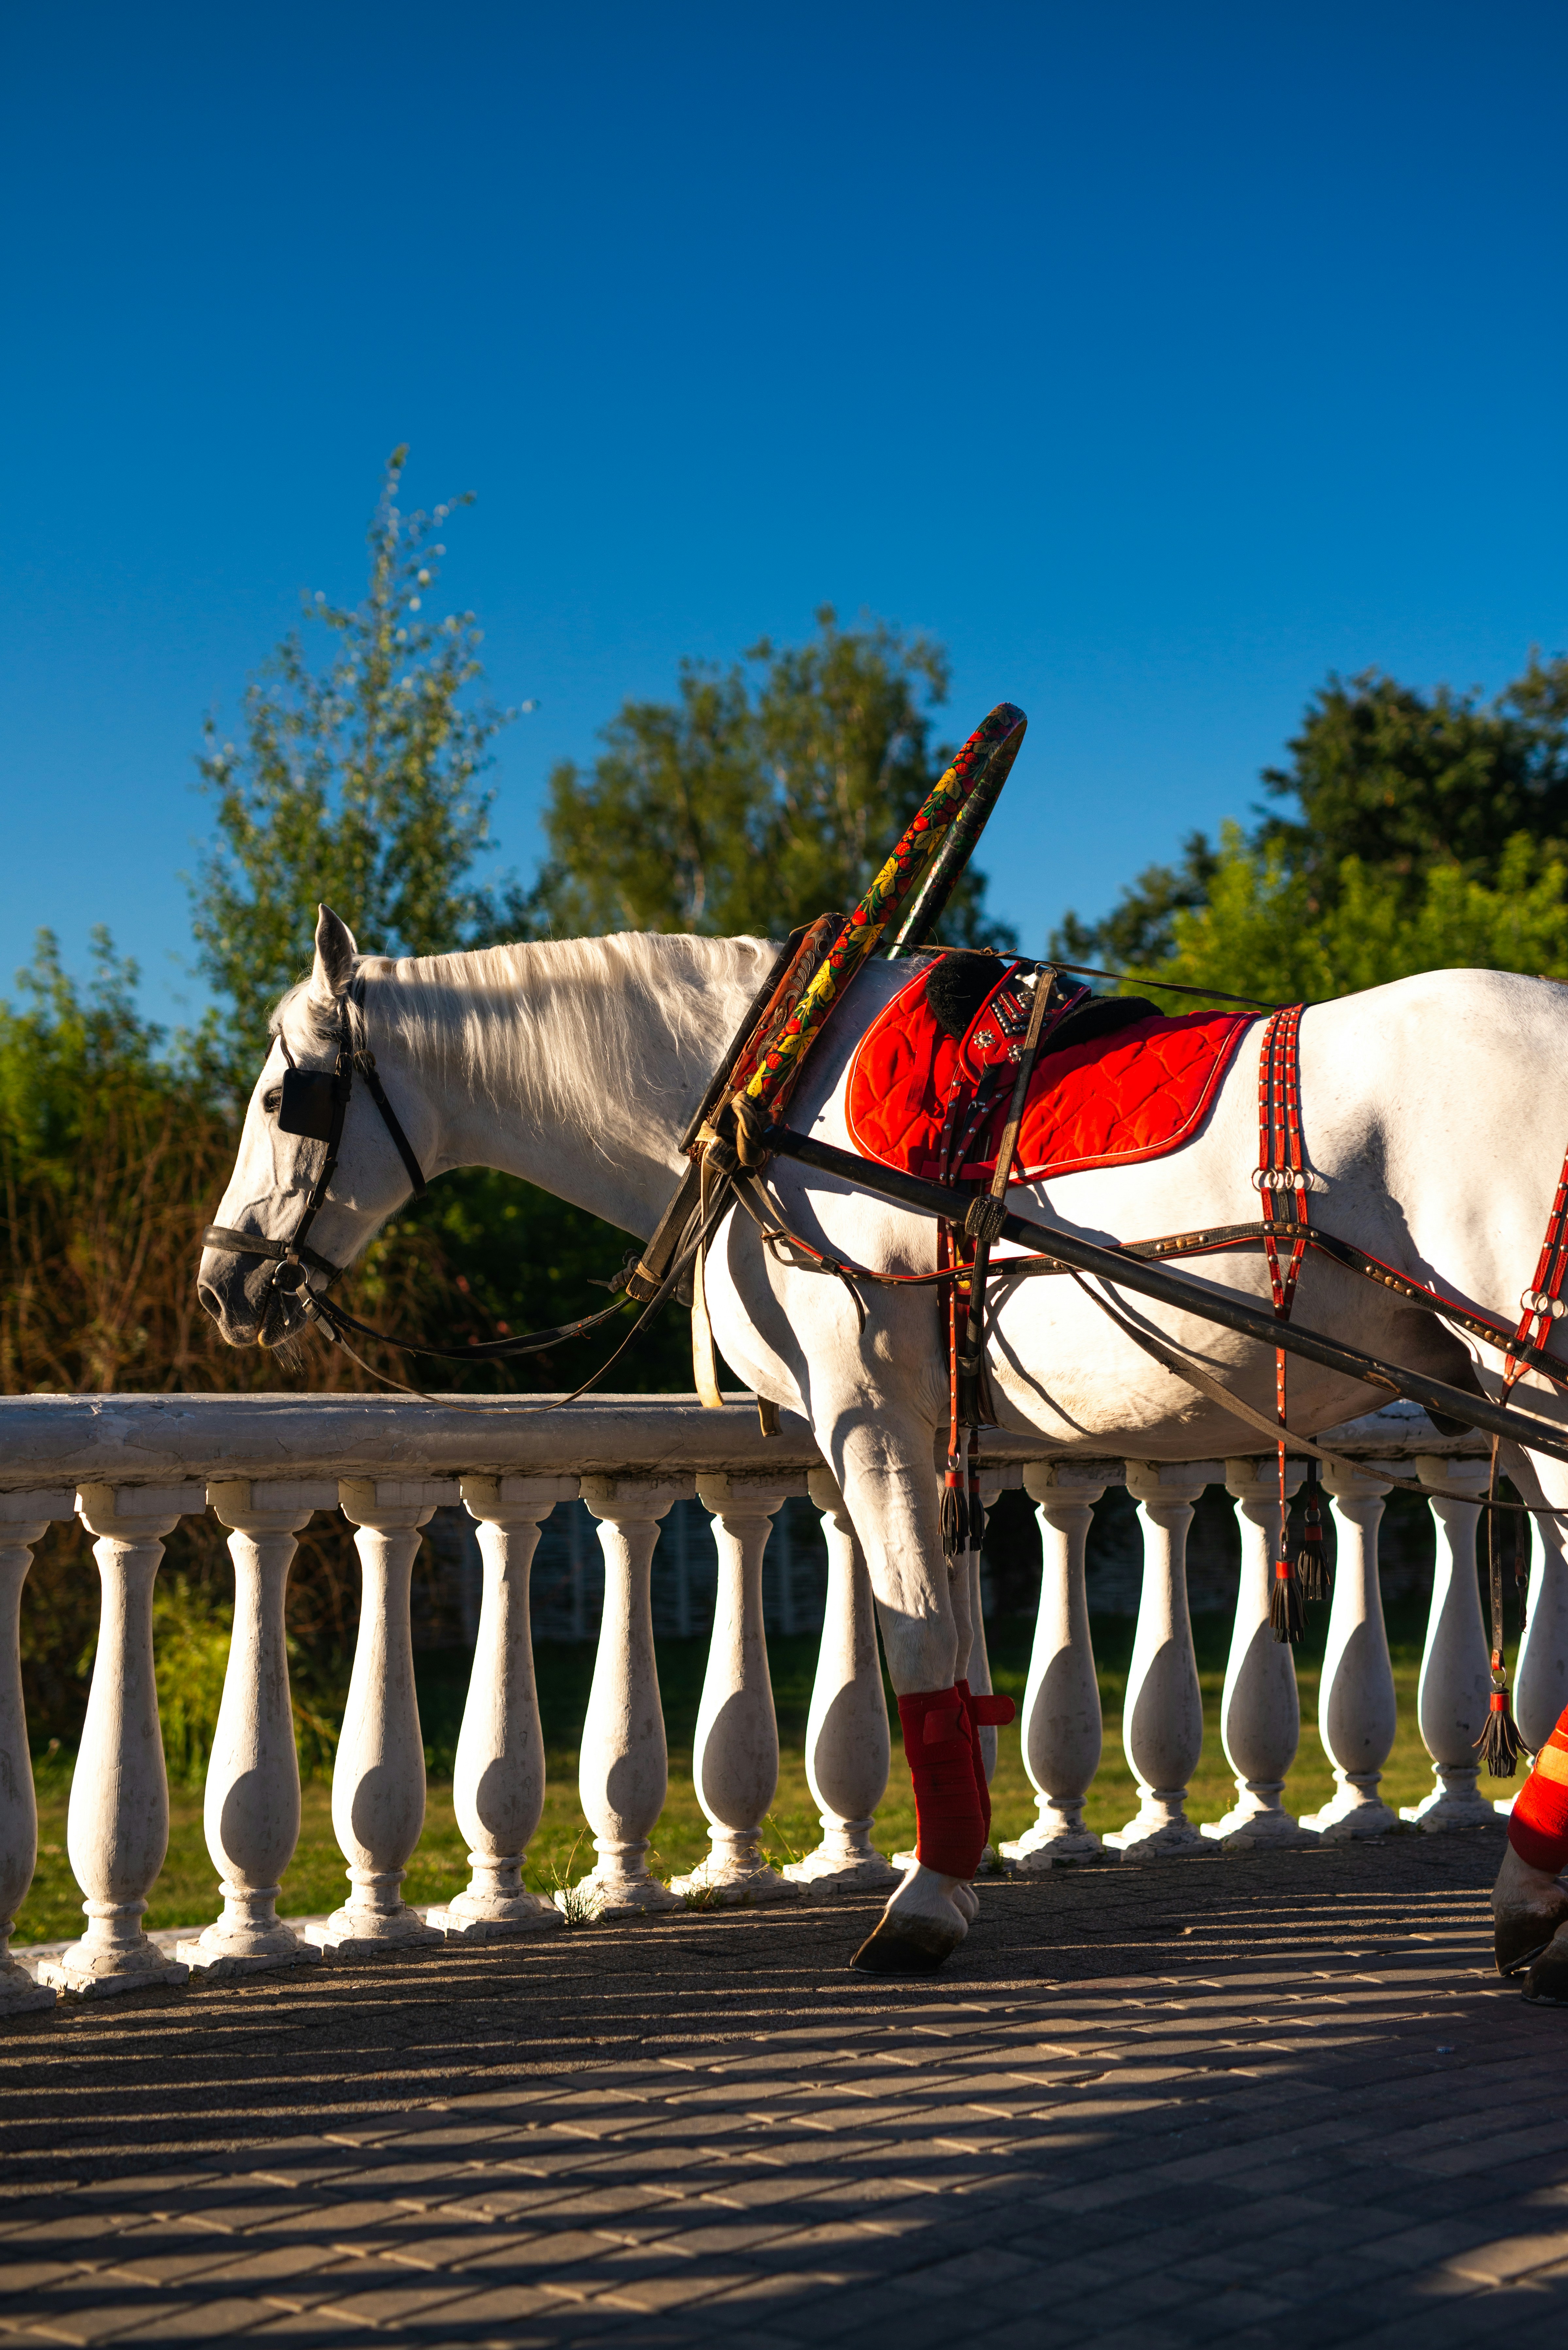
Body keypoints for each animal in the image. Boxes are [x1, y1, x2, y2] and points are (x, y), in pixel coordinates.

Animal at [198, 905, 1568, 1973]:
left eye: (285, 1095)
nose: (226, 1282)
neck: (768, 1093)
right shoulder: (942, 1431)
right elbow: (950, 1655)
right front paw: (953, 1867)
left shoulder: (870, 1416)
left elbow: (911, 1646)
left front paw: (924, 1900)